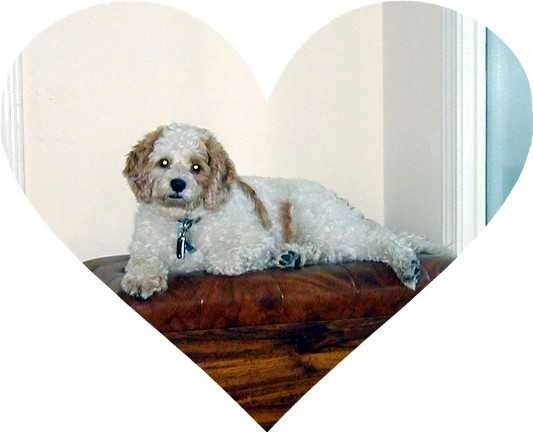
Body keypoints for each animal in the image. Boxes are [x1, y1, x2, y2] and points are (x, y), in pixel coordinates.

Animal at [121, 122, 450, 299]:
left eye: (196, 167)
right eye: (163, 162)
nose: (177, 184)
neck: (184, 222)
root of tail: (337, 199)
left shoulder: (254, 240)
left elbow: (220, 261)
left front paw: (259, 257)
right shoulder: (145, 247)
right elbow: (141, 262)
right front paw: (141, 281)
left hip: (319, 218)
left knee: (381, 240)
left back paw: (408, 264)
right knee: (335, 252)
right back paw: (293, 256)